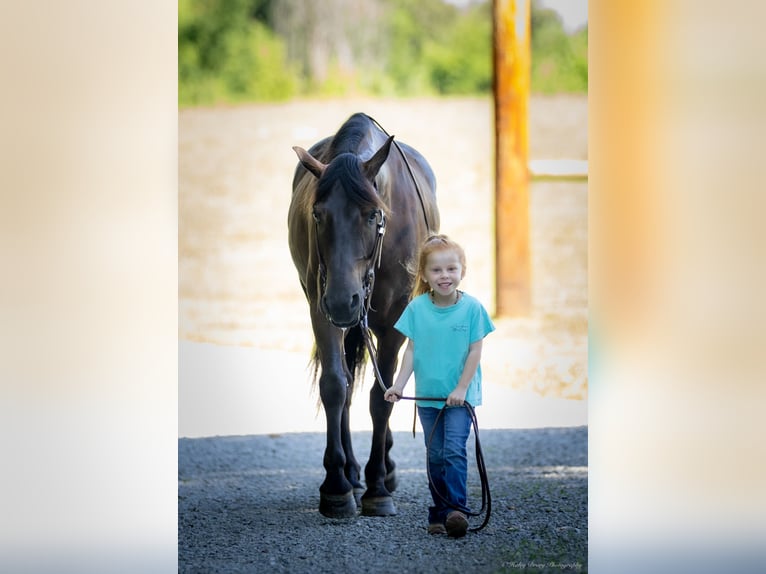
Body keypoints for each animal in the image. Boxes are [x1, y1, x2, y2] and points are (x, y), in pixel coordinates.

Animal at [290, 115, 444, 520]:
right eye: (317, 214)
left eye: (373, 215)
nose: (343, 301)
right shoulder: (322, 310)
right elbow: (335, 385)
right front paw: (337, 486)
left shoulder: (394, 322)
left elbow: (382, 397)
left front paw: (378, 488)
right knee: (344, 383)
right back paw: (351, 472)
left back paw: (384, 471)